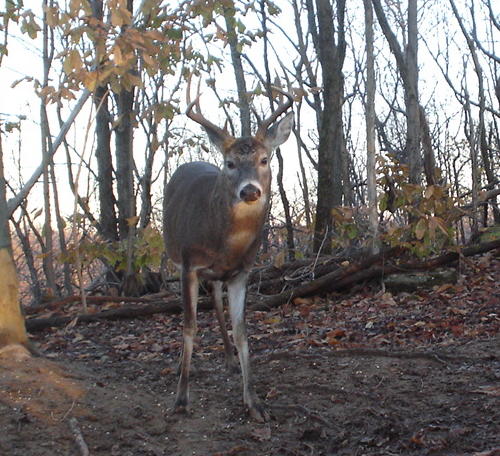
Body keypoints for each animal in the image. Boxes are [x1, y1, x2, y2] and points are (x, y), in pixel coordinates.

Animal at [165, 87, 292, 422]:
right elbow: (189, 326)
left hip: (219, 275)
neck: (225, 244)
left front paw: (254, 402)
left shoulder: (242, 271)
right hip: (178, 257)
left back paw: (230, 361)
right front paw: (181, 399)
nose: (250, 191)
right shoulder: (188, 264)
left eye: (265, 159)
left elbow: (242, 330)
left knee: (216, 300)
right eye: (230, 163)